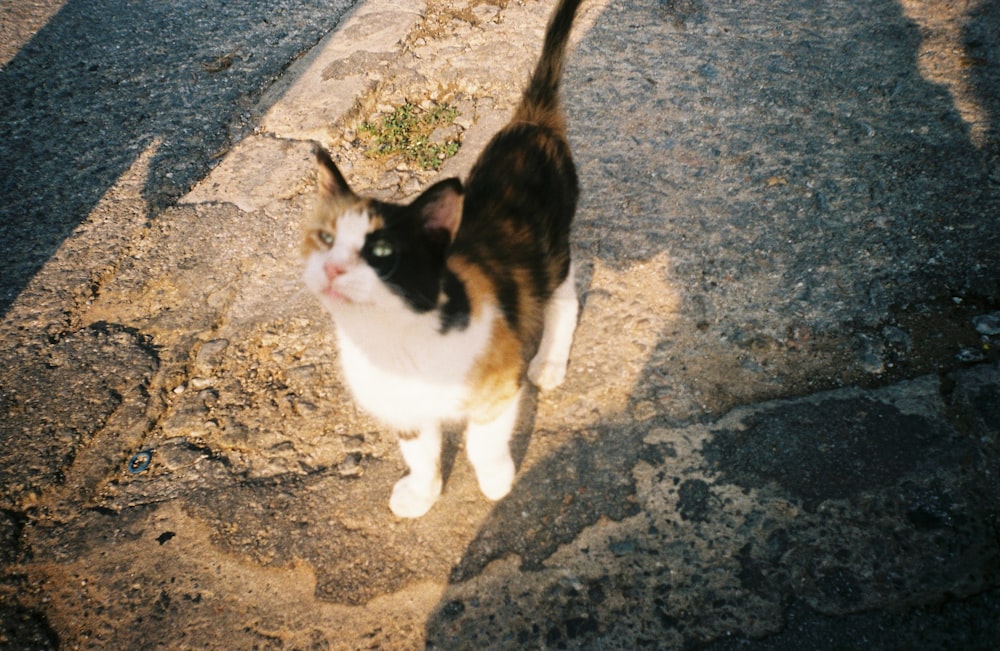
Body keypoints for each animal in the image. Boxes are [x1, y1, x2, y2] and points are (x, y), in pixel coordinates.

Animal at [300, 0, 584, 520]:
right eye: (325, 238)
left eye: (382, 252)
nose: (332, 268)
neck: (390, 338)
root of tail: (531, 124)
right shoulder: (402, 407)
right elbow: (418, 449)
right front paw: (421, 491)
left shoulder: (499, 382)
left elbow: (481, 440)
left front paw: (495, 481)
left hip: (553, 249)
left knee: (562, 294)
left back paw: (550, 361)